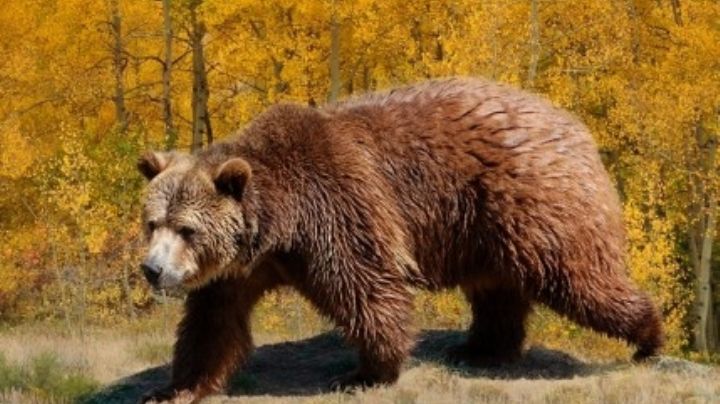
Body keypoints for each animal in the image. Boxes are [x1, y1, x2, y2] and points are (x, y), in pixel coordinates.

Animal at [137, 77, 663, 403]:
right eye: (152, 222)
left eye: (187, 229)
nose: (153, 269)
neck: (276, 227)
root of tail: (573, 124)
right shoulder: (237, 270)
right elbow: (213, 324)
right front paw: (173, 388)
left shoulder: (335, 208)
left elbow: (366, 286)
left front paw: (365, 371)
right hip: (484, 228)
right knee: (497, 289)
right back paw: (480, 347)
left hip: (530, 197)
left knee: (578, 276)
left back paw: (649, 336)